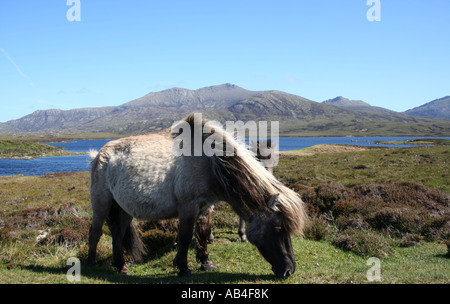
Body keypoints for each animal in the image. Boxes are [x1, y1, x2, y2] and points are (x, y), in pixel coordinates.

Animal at [86, 114, 308, 278]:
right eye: (278, 227)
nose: (289, 271)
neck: (209, 162)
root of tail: (99, 155)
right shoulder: (188, 207)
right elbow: (184, 237)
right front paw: (183, 268)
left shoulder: (206, 206)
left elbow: (202, 232)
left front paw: (206, 263)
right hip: (101, 203)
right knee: (95, 232)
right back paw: (91, 263)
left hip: (124, 209)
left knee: (118, 232)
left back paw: (121, 266)